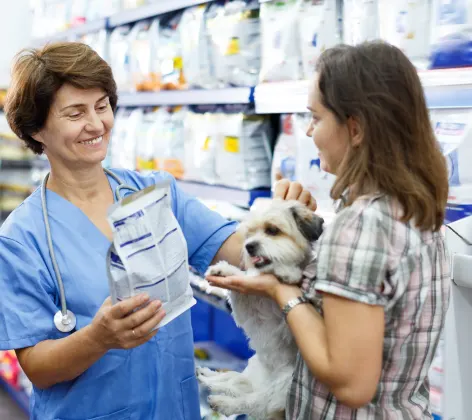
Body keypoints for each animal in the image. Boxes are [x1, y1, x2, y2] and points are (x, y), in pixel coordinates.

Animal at [196, 200, 324, 420]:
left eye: (272, 230)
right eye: (249, 234)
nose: (249, 246)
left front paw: (287, 272)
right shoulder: (246, 309)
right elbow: (243, 281)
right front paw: (225, 270)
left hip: (284, 385)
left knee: (253, 402)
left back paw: (224, 402)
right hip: (254, 368)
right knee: (233, 382)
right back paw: (208, 376)